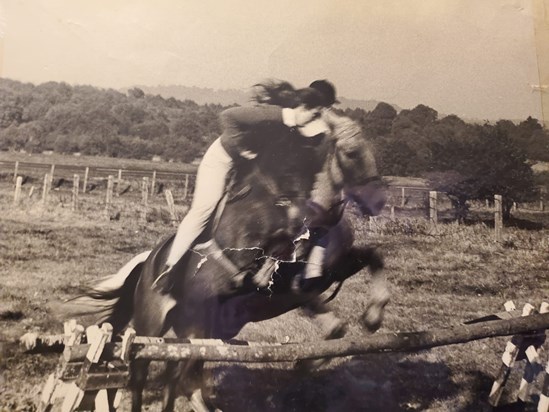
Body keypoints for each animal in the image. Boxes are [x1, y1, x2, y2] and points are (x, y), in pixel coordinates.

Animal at [70, 118, 388, 408]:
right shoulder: (291, 284)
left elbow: (372, 262)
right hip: (156, 325)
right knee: (146, 373)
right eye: (351, 153)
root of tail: (147, 263)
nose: (377, 200)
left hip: (199, 332)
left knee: (179, 376)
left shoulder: (321, 279)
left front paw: (373, 316)